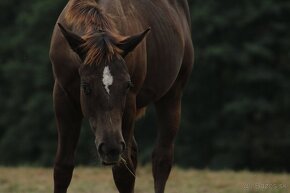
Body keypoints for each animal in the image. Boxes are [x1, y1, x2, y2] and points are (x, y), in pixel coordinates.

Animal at [49, 0, 194, 193]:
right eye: (86, 87)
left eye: (127, 86)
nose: (110, 148)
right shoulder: (62, 96)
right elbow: (63, 167)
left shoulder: (130, 103)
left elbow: (123, 171)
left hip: (173, 93)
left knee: (161, 159)